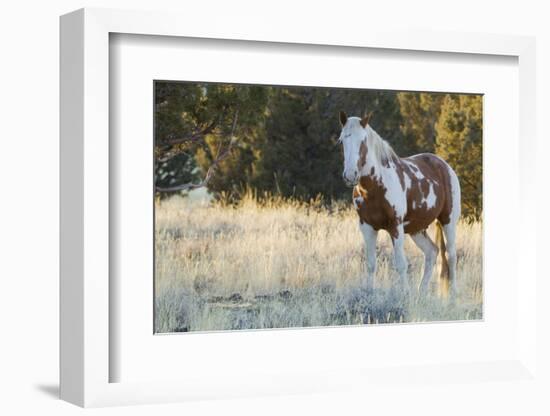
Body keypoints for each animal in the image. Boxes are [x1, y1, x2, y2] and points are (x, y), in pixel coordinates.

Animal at [338, 112, 464, 298]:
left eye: (363, 140)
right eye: (341, 141)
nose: (350, 175)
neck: (376, 186)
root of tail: (444, 166)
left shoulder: (395, 226)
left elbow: (401, 264)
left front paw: (404, 294)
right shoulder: (367, 227)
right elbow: (371, 264)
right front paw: (369, 294)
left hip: (448, 221)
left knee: (451, 255)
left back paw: (453, 294)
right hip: (416, 228)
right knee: (432, 252)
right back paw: (421, 293)